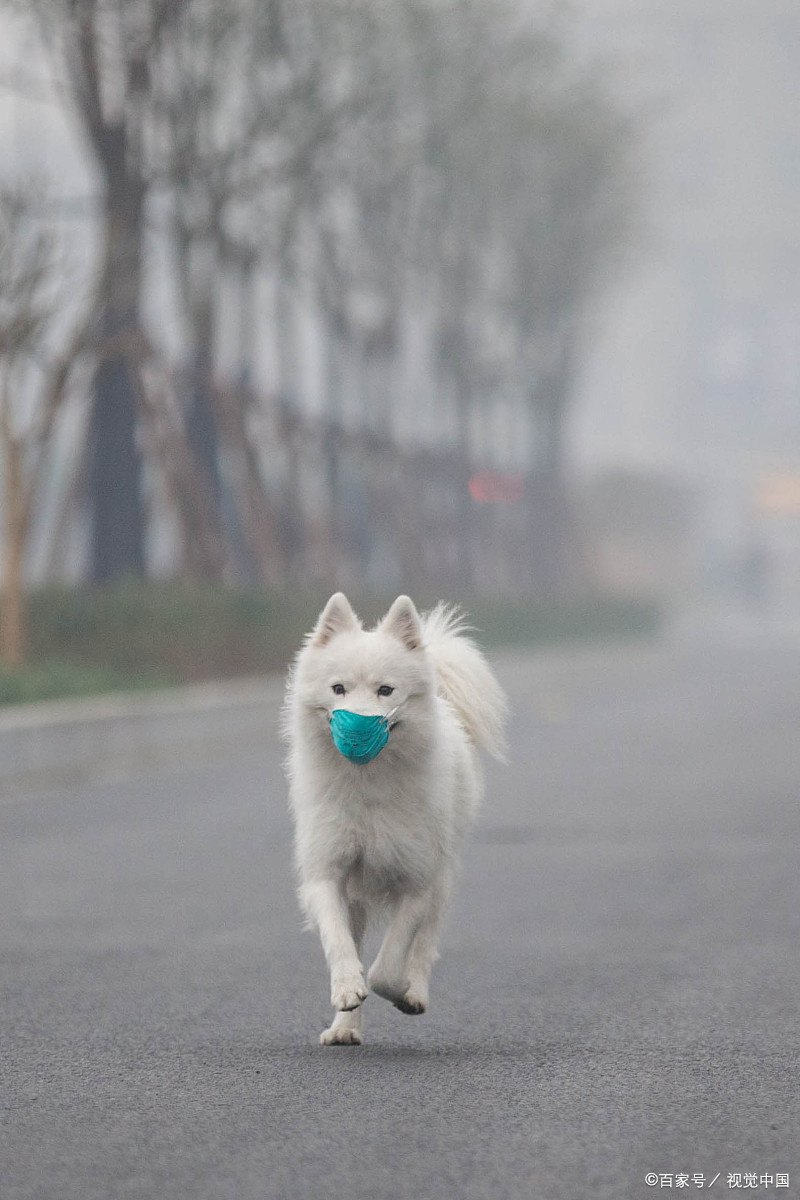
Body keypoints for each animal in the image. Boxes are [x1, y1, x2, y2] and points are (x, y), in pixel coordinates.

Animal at [281, 595, 506, 1046]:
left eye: (385, 690)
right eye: (338, 689)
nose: (357, 729)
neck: (367, 782)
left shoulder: (416, 883)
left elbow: (389, 965)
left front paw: (399, 991)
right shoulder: (326, 875)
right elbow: (339, 943)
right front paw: (347, 989)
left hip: (441, 879)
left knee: (425, 945)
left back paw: (413, 990)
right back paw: (344, 1029)